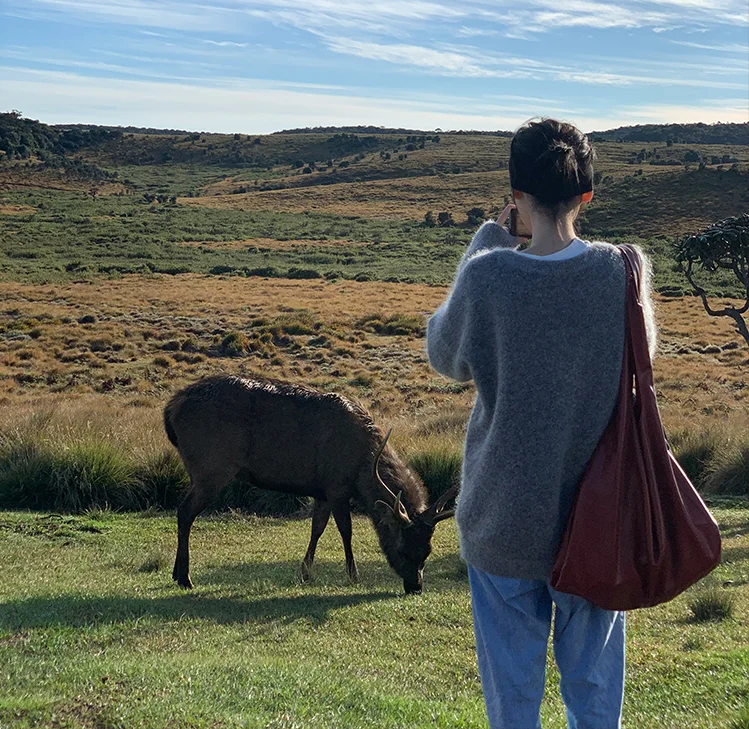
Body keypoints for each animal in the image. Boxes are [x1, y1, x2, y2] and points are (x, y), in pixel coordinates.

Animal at [164, 376, 456, 592]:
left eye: (427, 551)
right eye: (401, 549)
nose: (415, 587)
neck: (361, 465)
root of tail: (170, 409)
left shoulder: (322, 490)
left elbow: (317, 528)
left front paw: (305, 572)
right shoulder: (337, 486)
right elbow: (345, 531)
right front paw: (353, 575)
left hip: (201, 471)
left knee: (183, 510)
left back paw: (177, 574)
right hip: (211, 468)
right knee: (185, 510)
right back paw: (185, 578)